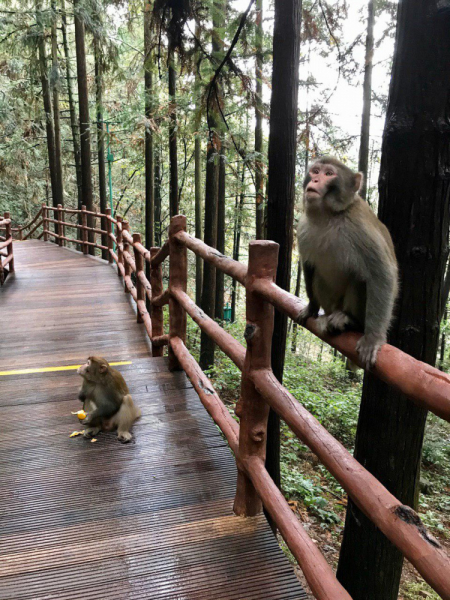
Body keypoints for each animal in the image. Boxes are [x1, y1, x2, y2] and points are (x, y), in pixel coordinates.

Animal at [298, 157, 398, 368]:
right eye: (315, 171)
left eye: (329, 174)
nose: (315, 180)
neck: (328, 216)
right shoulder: (303, 226)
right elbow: (309, 265)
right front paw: (311, 307)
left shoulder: (359, 227)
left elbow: (382, 273)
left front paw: (373, 338)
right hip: (330, 302)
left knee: (360, 277)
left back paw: (350, 319)